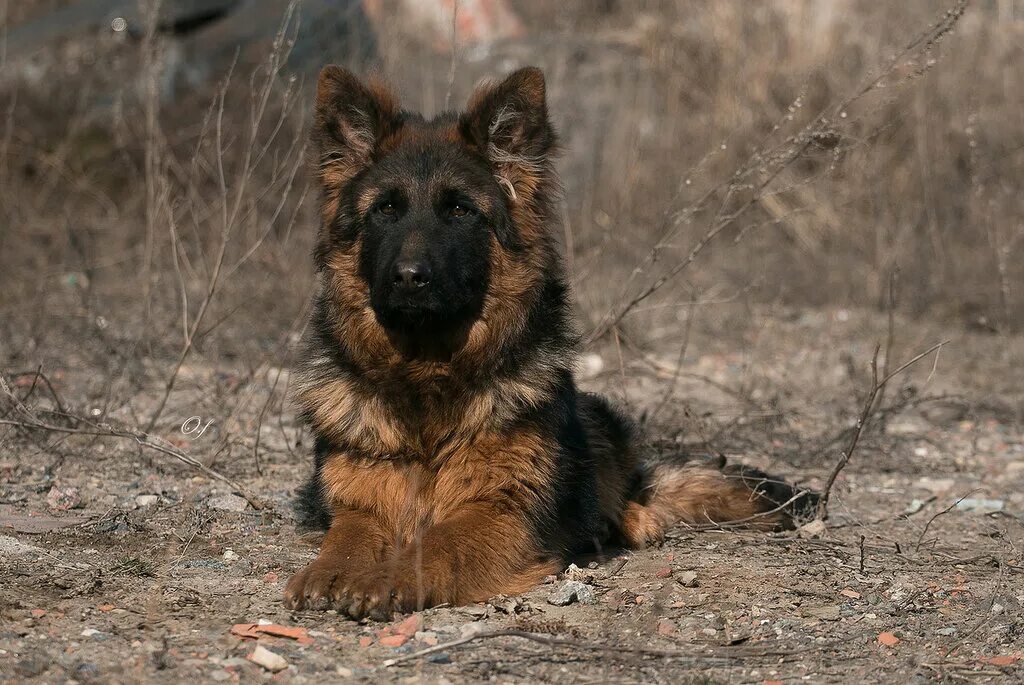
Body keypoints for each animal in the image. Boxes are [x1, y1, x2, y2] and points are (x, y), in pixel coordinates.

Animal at [282, 66, 815, 618]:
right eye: (386, 210)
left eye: (459, 211)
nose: (409, 278)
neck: (426, 378)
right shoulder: (358, 497)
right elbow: (350, 535)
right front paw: (332, 570)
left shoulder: (503, 506)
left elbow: (436, 545)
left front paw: (387, 577)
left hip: (594, 419)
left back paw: (631, 519)